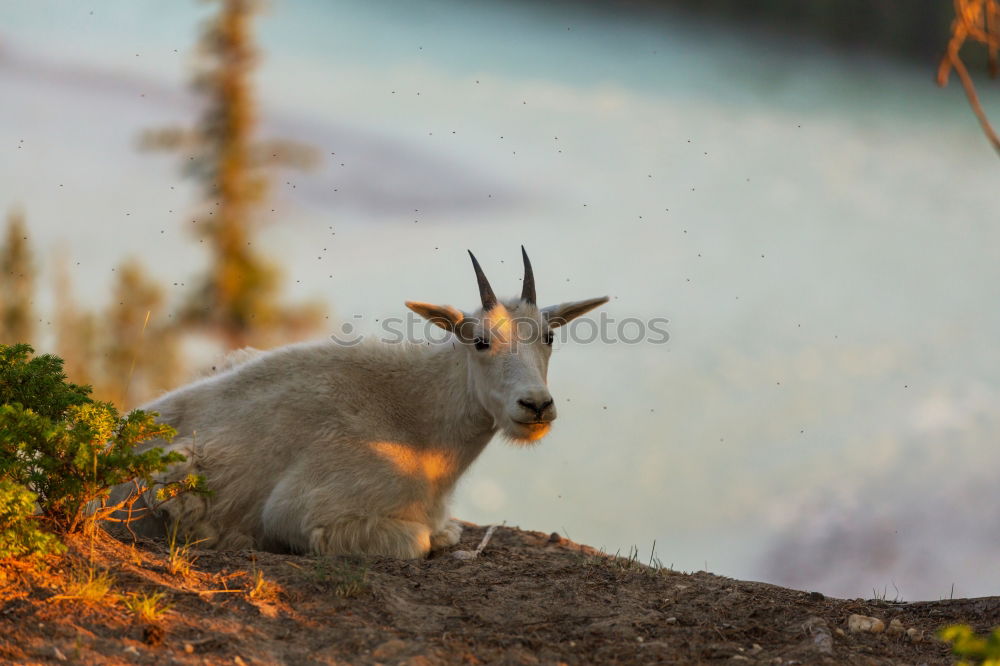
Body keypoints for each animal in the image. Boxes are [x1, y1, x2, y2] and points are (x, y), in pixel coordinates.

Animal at [113, 248, 604, 556]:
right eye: (480, 341)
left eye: (549, 336)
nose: (535, 406)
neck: (420, 424)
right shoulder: (303, 510)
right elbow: (419, 541)